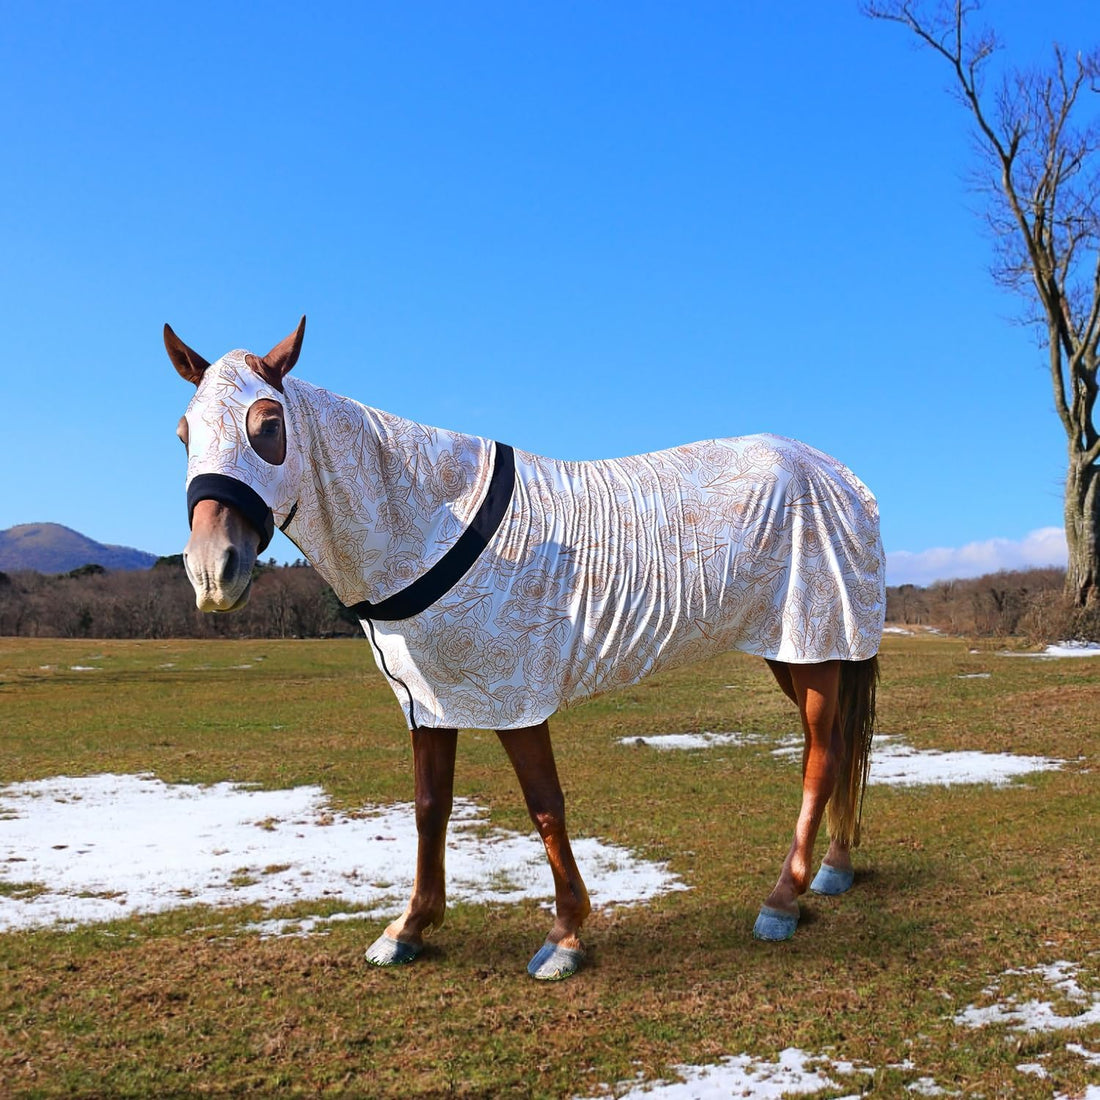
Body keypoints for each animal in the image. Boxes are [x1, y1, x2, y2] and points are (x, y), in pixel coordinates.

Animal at [166, 316, 884, 981]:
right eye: (183, 434)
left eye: (267, 425)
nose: (210, 572)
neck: (429, 518)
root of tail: (839, 476)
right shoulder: (431, 700)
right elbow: (430, 808)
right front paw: (410, 927)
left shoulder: (515, 697)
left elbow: (545, 806)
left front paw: (565, 935)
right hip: (796, 653)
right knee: (833, 748)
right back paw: (832, 869)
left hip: (815, 646)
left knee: (822, 757)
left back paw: (783, 898)